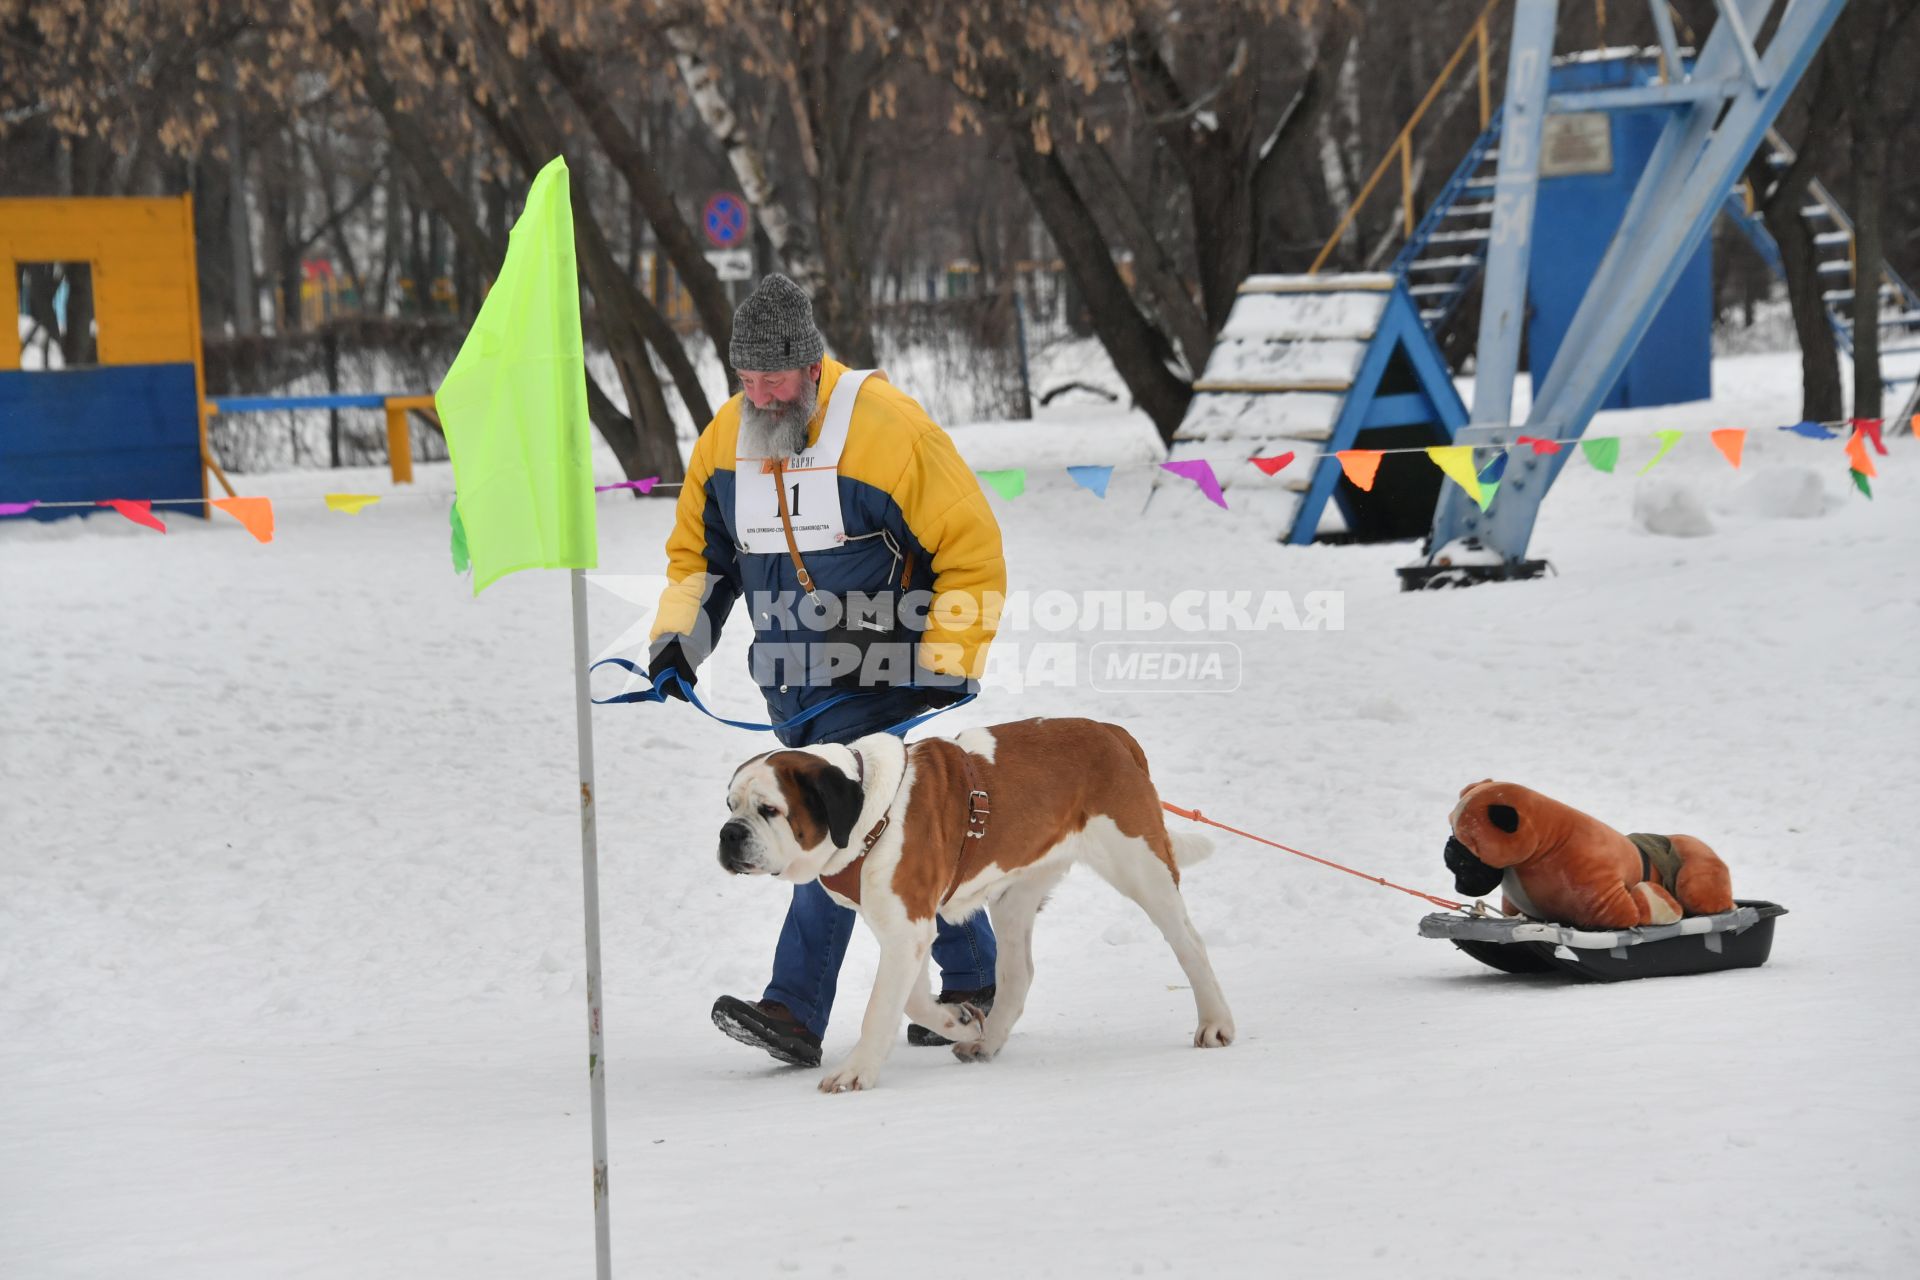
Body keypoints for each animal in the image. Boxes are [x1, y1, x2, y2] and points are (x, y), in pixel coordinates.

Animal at [714, 717, 1236, 1097]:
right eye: (730, 805)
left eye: (769, 810)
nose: (729, 834)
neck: (868, 814)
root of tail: (1113, 734)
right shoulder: (906, 926)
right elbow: (912, 999)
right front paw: (958, 1022)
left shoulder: (906, 928)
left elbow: (881, 1007)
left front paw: (855, 1073)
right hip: (1015, 894)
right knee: (1018, 973)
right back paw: (987, 1042)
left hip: (1140, 867)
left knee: (1189, 943)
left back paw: (1215, 1024)